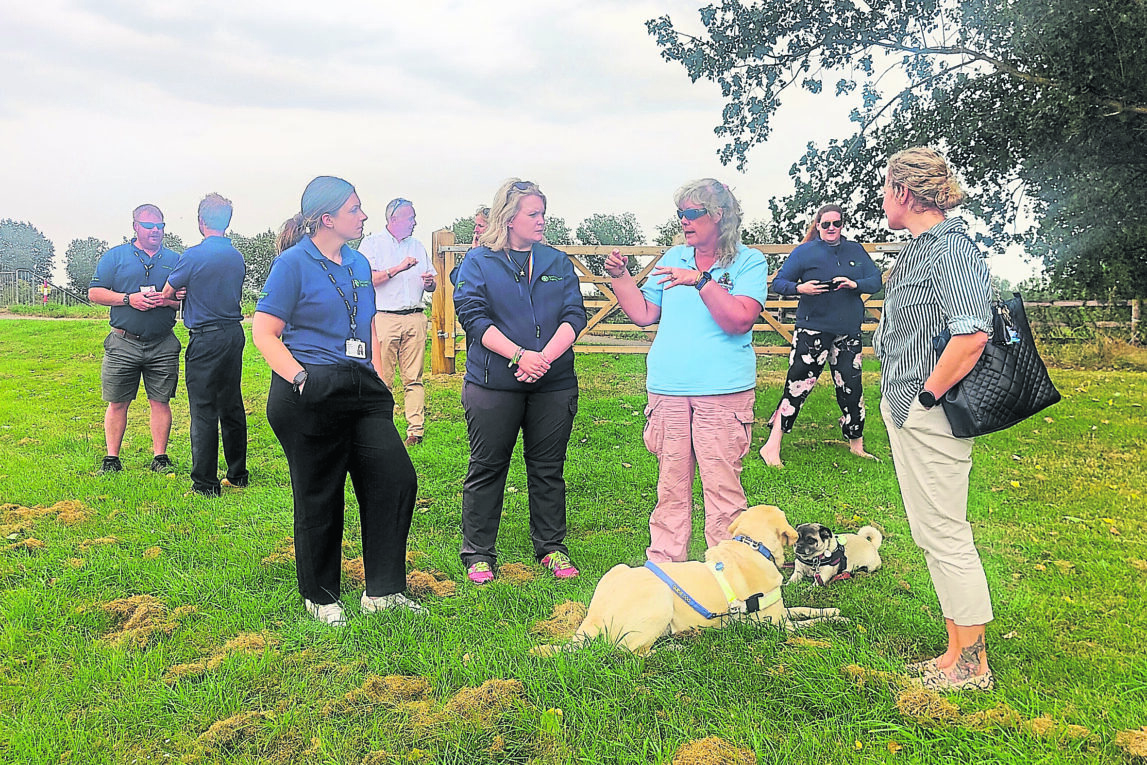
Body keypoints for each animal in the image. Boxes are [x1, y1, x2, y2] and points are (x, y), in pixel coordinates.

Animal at [534, 504, 844, 656]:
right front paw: (835, 620)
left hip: (619, 569)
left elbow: (806, 609)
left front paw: (832, 611)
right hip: (660, 600)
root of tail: (594, 614)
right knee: (628, 652)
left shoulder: (780, 611)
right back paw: (672, 648)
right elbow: (808, 623)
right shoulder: (777, 625)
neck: (752, 545)